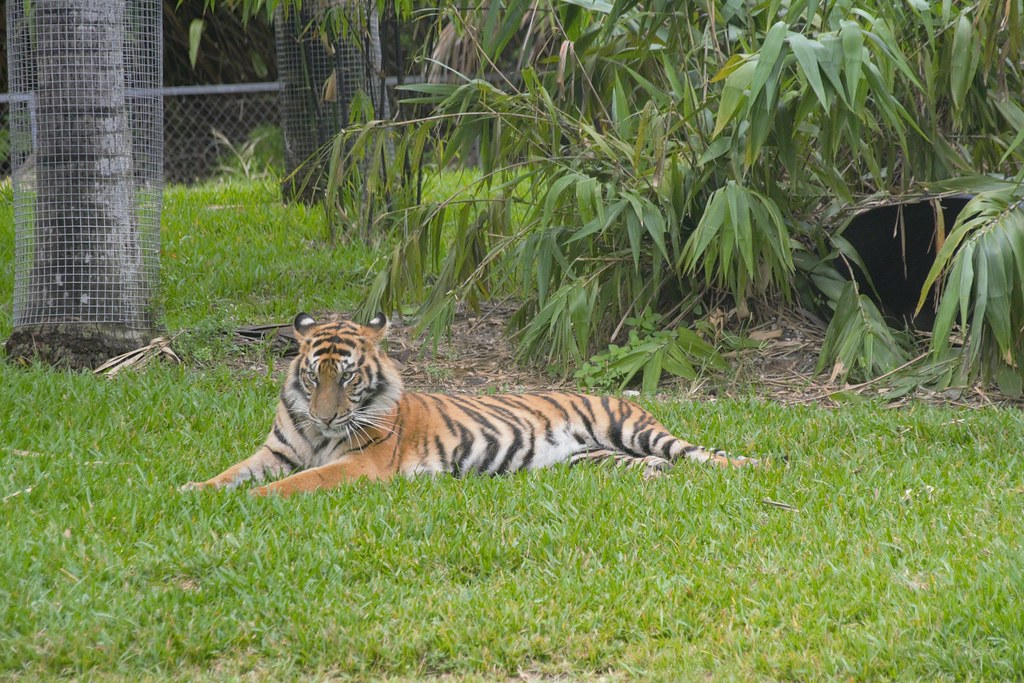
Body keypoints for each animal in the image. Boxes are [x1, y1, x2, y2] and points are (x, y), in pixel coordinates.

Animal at [181, 312, 759, 497]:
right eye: (311, 375)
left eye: (347, 378)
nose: (325, 415)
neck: (319, 432)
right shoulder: (275, 452)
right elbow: (231, 473)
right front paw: (192, 490)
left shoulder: (361, 464)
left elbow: (302, 481)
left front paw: (259, 500)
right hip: (592, 457)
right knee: (651, 463)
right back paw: (655, 476)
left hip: (631, 428)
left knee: (697, 451)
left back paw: (756, 464)